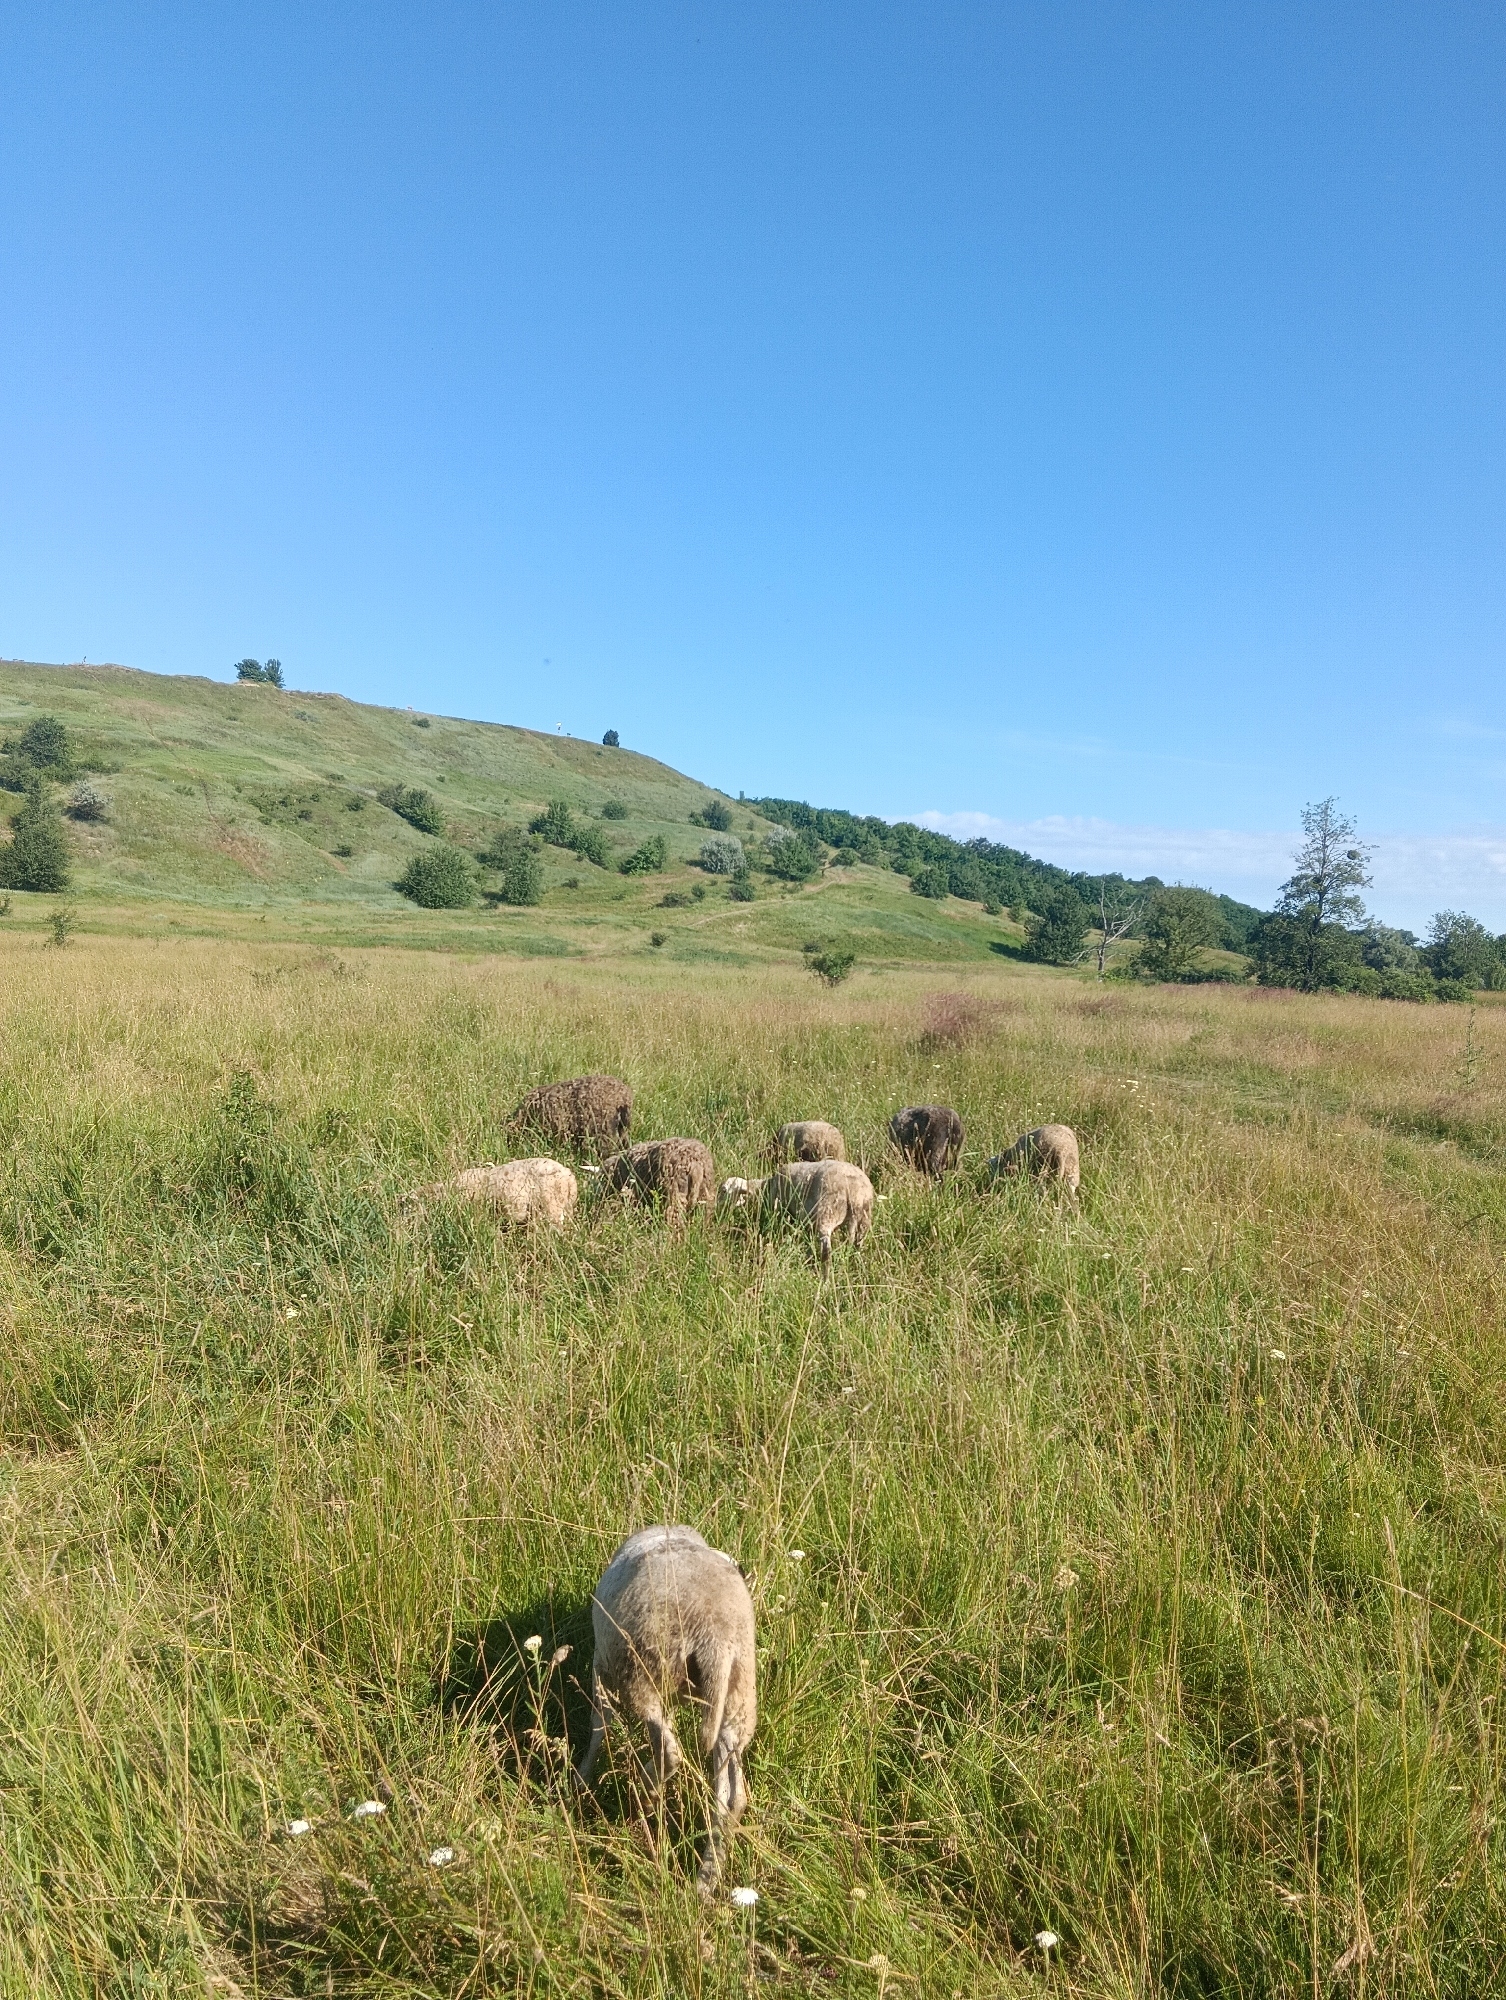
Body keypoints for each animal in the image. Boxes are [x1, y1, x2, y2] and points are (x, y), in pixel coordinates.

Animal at [575, 1524, 756, 1892]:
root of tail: (717, 1637)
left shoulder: (602, 1665)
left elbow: (600, 1724)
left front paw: (581, 1779)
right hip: (737, 1697)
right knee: (731, 1796)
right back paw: (706, 1879)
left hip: (641, 1669)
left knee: (669, 1750)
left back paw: (645, 1794)